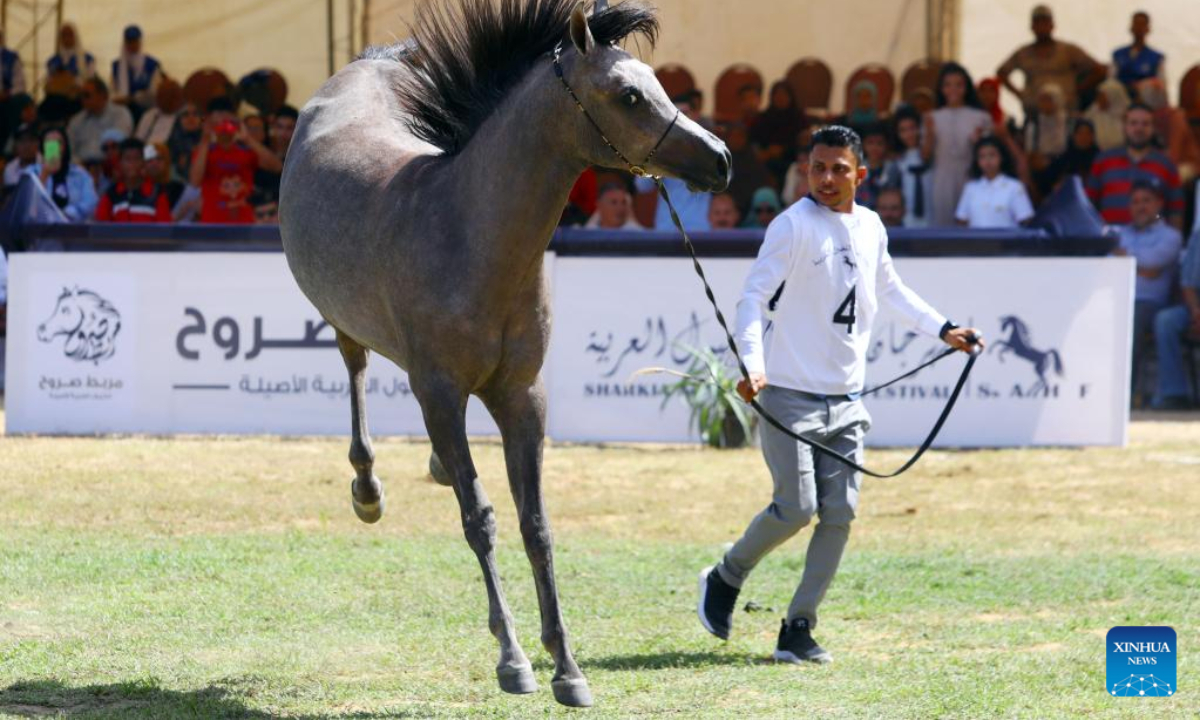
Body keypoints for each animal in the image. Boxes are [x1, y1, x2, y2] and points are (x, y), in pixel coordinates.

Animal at [280, 0, 729, 710]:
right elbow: (480, 519)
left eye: (657, 83)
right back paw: (368, 488)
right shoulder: (440, 393)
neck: (468, 234)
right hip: (346, 319)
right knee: (355, 367)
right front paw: (514, 659)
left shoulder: (523, 396)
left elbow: (535, 525)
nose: (721, 160)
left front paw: (568, 668)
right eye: (629, 94)